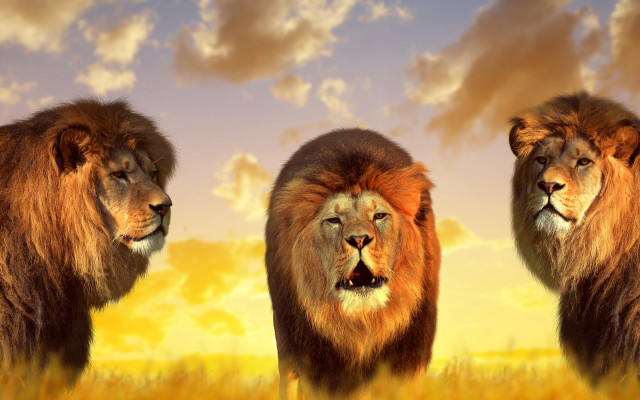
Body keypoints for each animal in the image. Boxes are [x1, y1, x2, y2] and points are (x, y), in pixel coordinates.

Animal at [265, 128, 440, 398]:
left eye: (379, 215)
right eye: (334, 220)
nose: (359, 239)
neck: (361, 326)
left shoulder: (408, 360)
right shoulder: (315, 364)